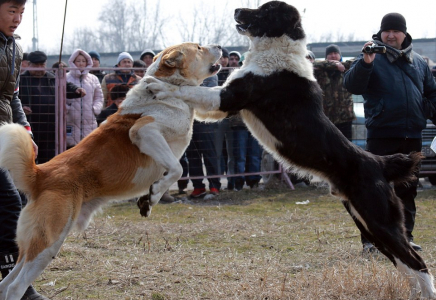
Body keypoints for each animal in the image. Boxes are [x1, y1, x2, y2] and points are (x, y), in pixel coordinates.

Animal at [0, 42, 221, 300]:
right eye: (199, 47)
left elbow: (172, 171)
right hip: (50, 240)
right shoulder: (144, 132)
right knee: (15, 287)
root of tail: (40, 174)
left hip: (34, 244)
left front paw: (148, 200)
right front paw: (154, 193)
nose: (219, 45)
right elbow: (176, 168)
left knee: (6, 283)